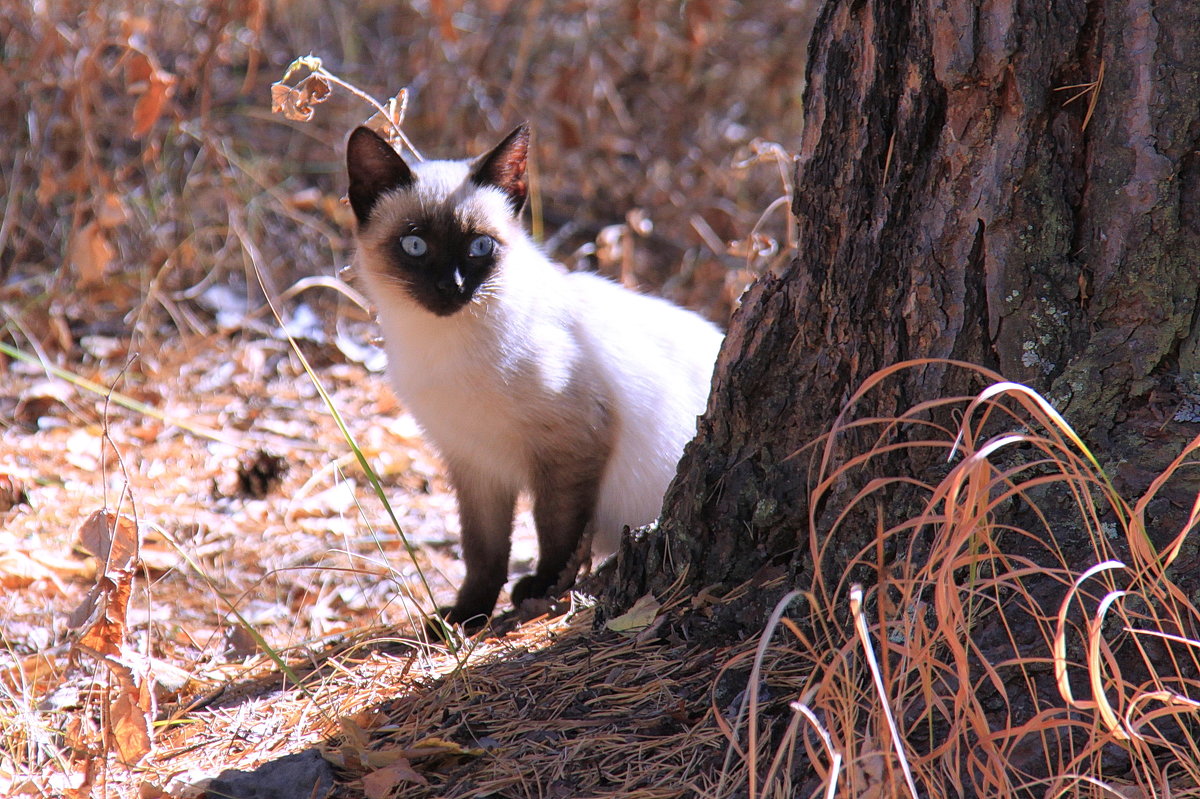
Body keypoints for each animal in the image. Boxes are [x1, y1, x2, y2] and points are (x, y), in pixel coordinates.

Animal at [345, 121, 720, 623]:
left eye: (480, 246)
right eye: (415, 245)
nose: (451, 287)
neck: (447, 349)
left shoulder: (571, 445)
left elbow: (555, 531)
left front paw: (543, 588)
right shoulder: (474, 463)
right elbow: (482, 552)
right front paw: (466, 616)